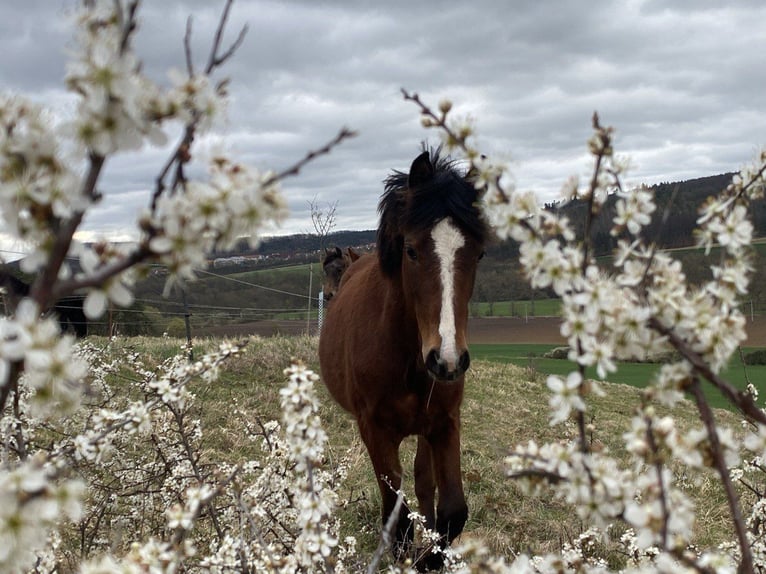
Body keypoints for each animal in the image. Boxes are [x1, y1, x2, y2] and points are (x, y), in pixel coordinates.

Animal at [320, 148, 492, 572]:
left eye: (479, 252)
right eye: (411, 250)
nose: (447, 360)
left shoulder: (445, 424)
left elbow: (453, 511)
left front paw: (428, 556)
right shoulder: (375, 430)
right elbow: (396, 513)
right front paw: (406, 552)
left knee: (423, 483)